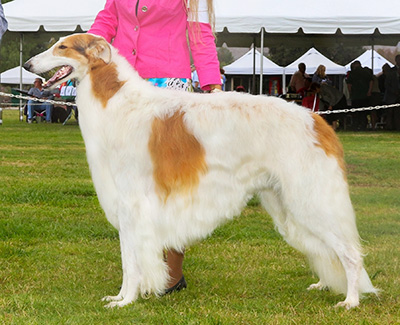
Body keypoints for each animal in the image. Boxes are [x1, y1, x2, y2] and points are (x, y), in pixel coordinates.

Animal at [25, 34, 378, 308]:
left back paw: (351, 300)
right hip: (290, 203)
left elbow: (131, 263)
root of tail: (316, 119)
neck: (116, 98)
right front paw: (124, 297)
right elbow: (130, 259)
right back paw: (326, 285)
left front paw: (126, 300)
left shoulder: (132, 204)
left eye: (62, 46)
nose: (28, 65)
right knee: (327, 250)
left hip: (310, 199)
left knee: (350, 253)